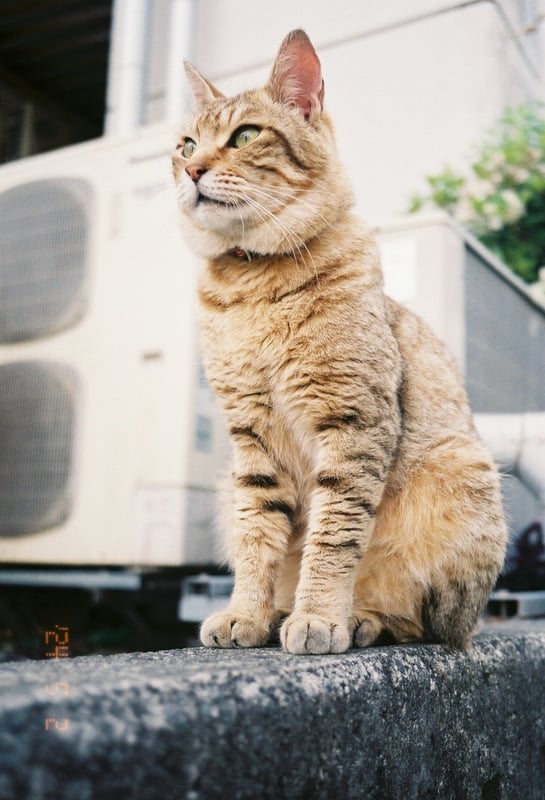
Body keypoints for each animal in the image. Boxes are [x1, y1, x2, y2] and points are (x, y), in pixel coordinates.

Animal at [172, 29, 508, 656]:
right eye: (184, 145)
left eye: (245, 135)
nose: (192, 170)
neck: (254, 284)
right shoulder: (251, 439)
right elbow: (257, 535)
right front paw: (246, 613)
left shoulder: (352, 422)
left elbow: (334, 537)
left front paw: (320, 616)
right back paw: (281, 612)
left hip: (459, 472)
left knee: (418, 621)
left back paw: (358, 619)